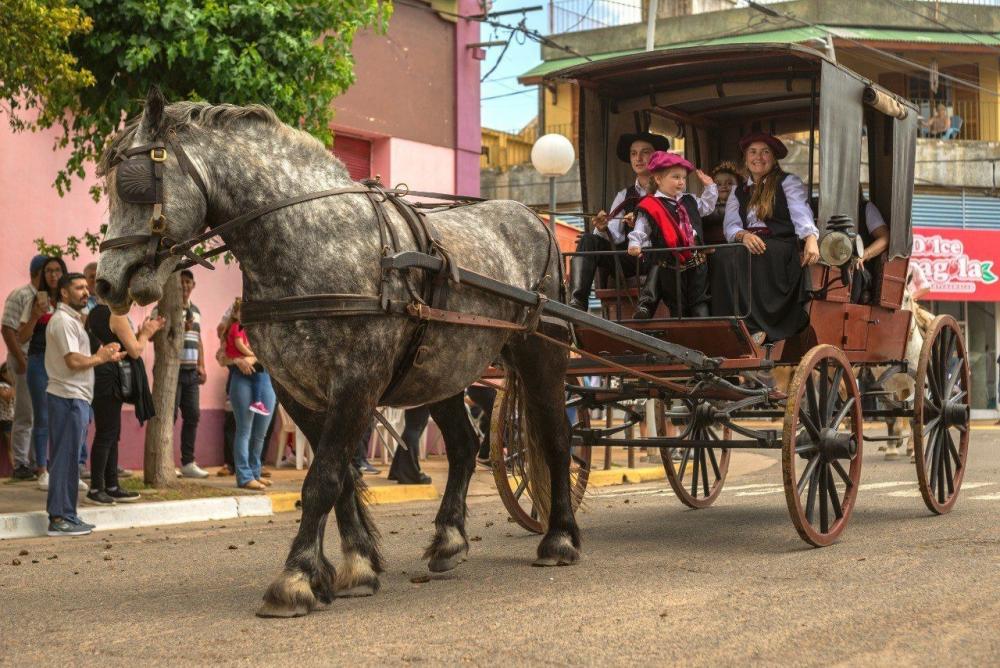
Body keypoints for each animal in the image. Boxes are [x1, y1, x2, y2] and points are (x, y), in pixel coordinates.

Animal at [97, 88, 584, 616]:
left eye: (133, 182)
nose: (106, 283)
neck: (311, 238)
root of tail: (536, 219)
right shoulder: (295, 391)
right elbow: (342, 477)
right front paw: (355, 567)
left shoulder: (357, 382)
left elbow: (323, 479)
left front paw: (294, 579)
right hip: (439, 368)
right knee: (462, 444)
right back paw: (450, 540)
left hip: (541, 352)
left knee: (557, 439)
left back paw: (560, 538)